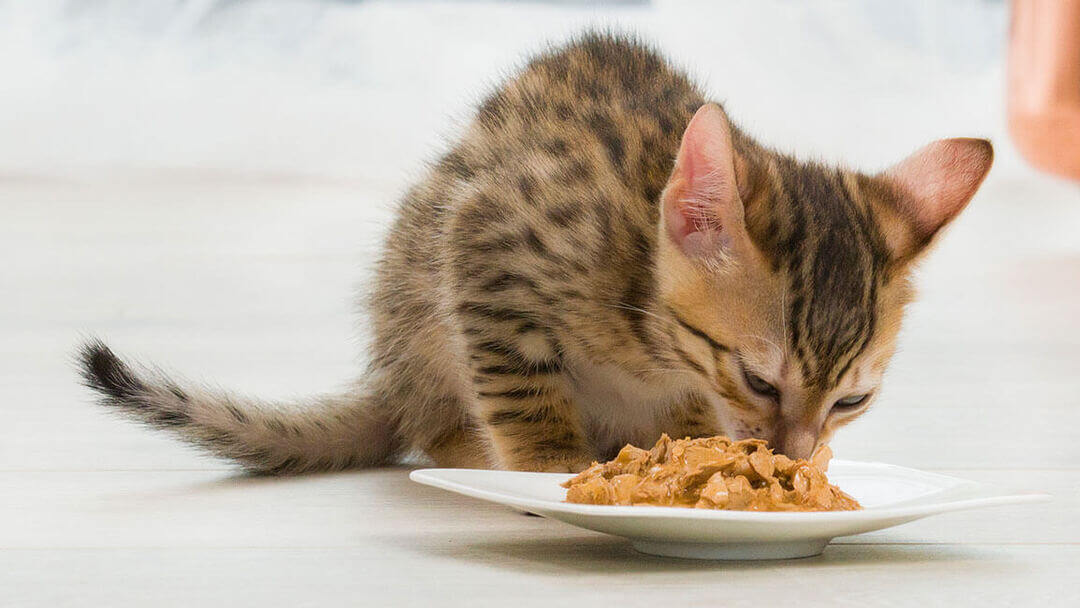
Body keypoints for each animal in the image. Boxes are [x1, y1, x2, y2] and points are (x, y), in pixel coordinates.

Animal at [79, 33, 993, 475]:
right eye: (760, 380)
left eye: (851, 402)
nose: (791, 455)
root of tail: (388, 381)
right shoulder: (486, 240)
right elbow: (517, 373)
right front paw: (548, 459)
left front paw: (697, 446)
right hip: (418, 293)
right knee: (435, 418)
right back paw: (467, 445)